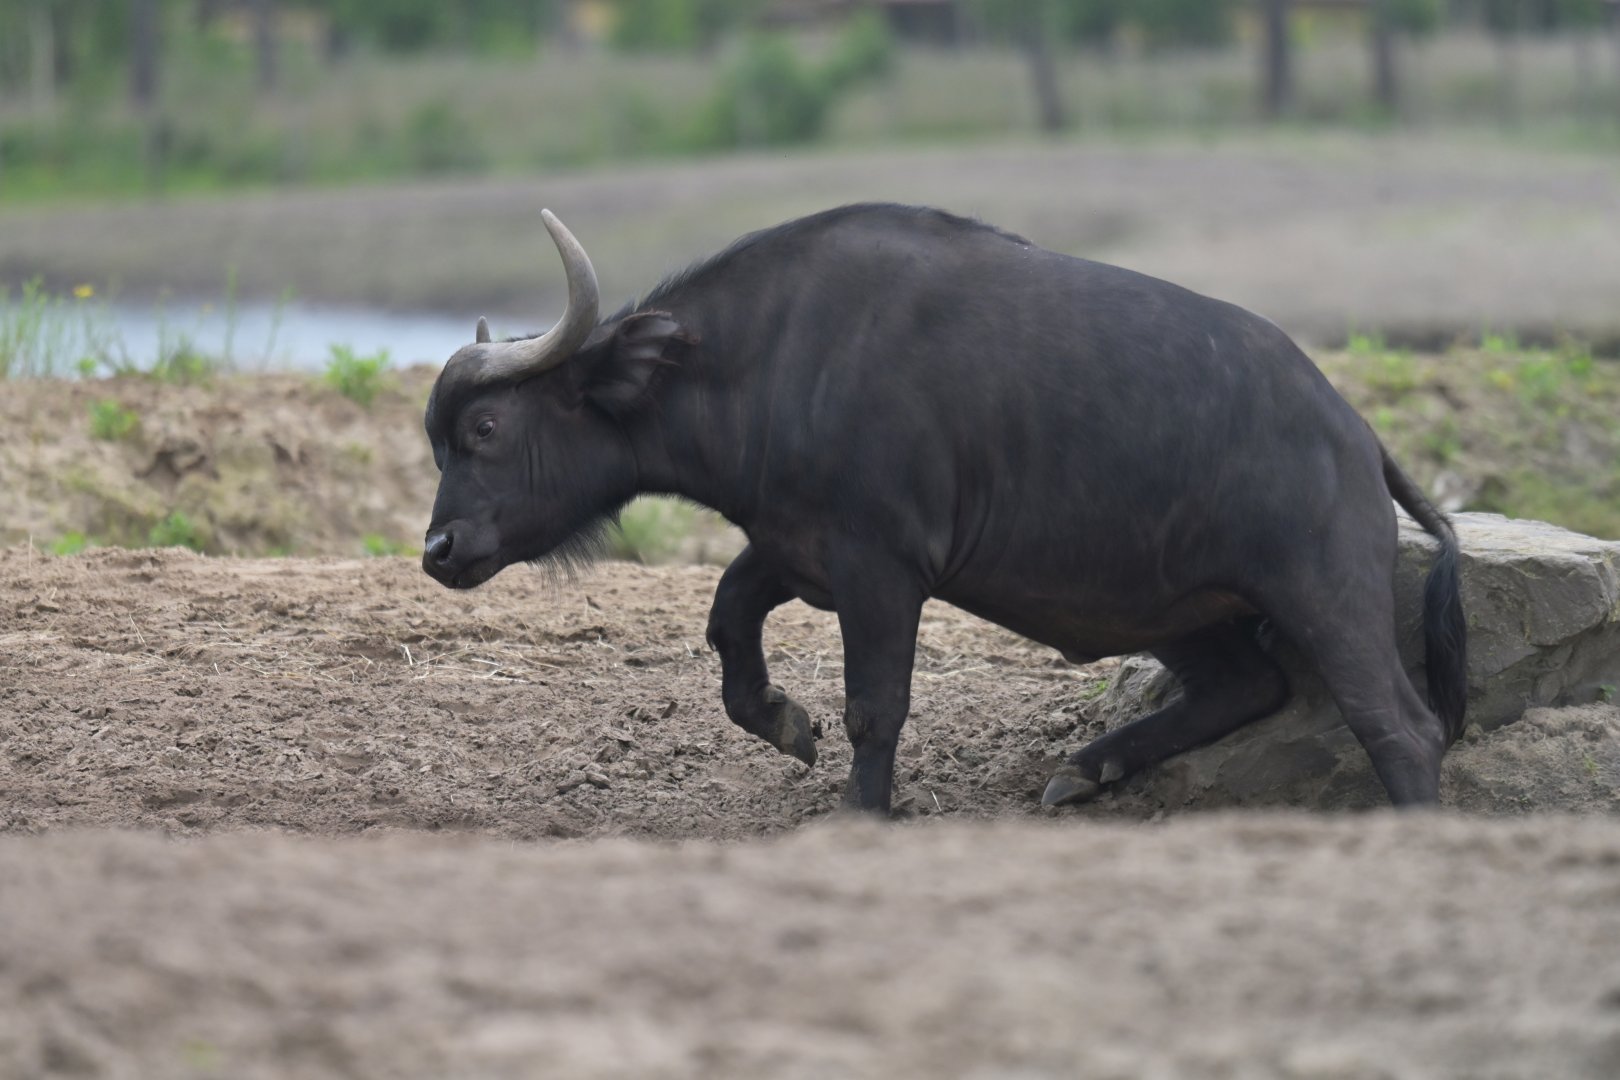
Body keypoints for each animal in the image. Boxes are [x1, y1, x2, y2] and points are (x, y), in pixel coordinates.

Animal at [422, 205, 1466, 813]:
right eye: (440, 437)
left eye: (483, 425)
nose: (437, 548)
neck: (768, 358)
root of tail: (1353, 432)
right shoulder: (796, 547)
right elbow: (727, 622)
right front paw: (784, 723)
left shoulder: (882, 569)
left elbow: (874, 706)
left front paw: (860, 807)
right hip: (1177, 605)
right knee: (1246, 687)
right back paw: (1086, 769)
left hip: (1325, 596)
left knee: (1400, 728)